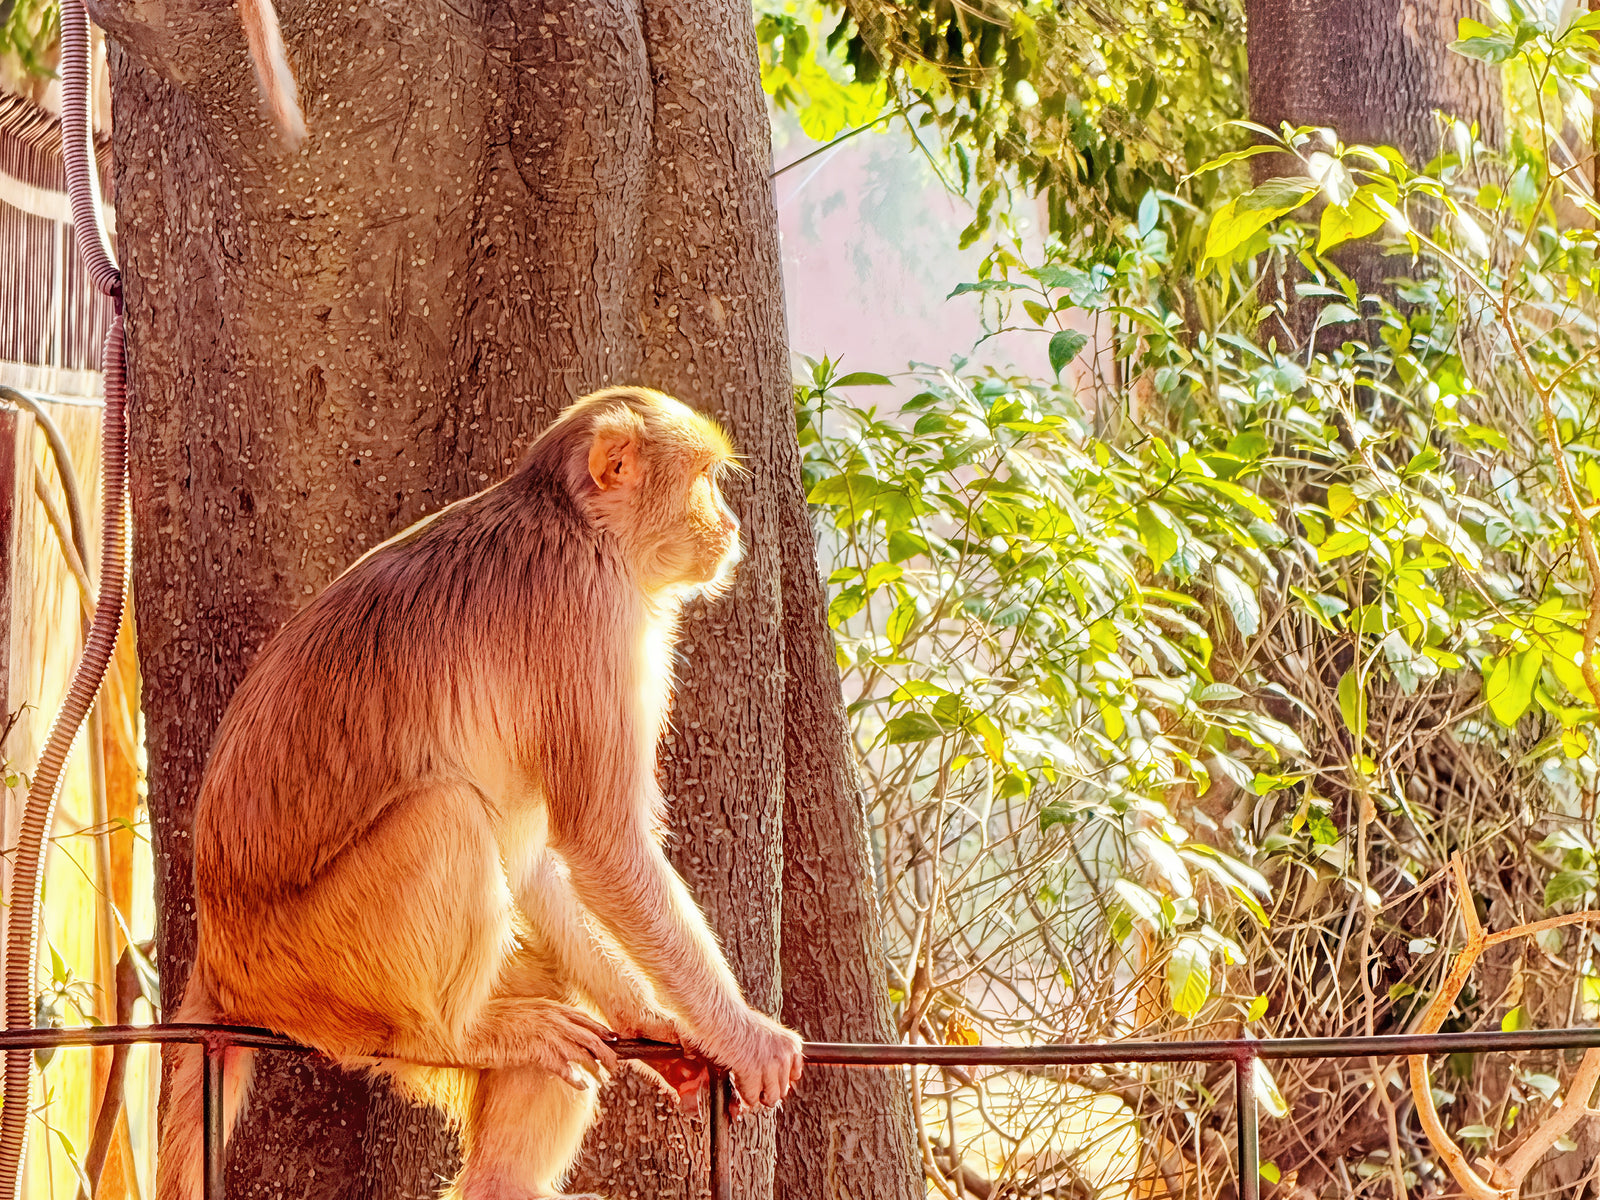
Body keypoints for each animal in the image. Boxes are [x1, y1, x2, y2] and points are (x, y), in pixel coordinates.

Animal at [155, 387, 804, 1200]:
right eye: (706, 481)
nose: (732, 525)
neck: (579, 524)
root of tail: (218, 956)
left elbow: (537, 858)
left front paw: (655, 1020)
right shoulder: (590, 616)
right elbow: (602, 843)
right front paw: (742, 1033)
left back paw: (504, 1166)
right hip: (312, 969)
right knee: (449, 816)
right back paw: (455, 1032)